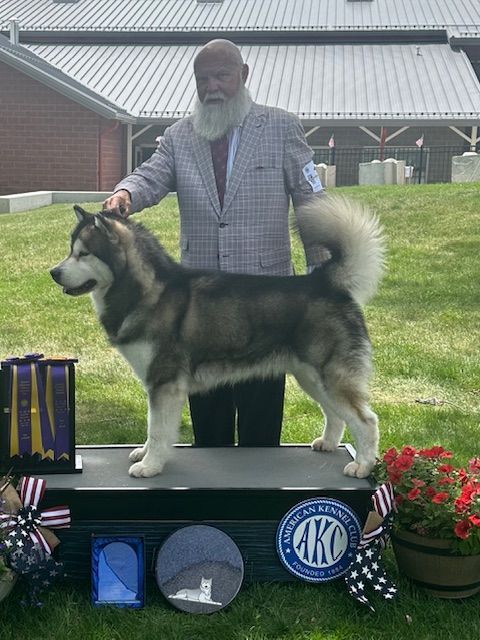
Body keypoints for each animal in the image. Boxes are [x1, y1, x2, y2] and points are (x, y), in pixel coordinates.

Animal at [50, 195, 385, 479]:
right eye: (70, 251)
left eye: (83, 253)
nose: (53, 272)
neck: (146, 291)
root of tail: (325, 282)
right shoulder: (159, 386)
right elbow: (153, 428)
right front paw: (146, 455)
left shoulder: (164, 383)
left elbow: (157, 430)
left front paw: (150, 466)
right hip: (311, 377)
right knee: (336, 414)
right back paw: (328, 443)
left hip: (330, 376)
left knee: (366, 421)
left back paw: (363, 465)